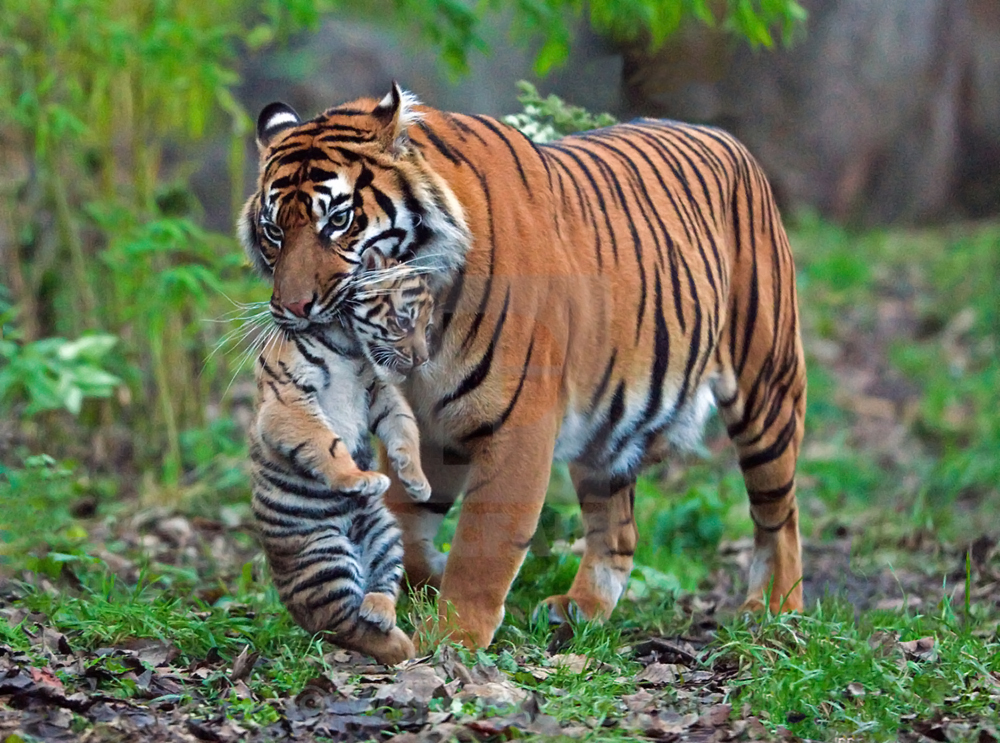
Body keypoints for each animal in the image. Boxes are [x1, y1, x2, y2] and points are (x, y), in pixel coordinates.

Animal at [238, 83, 808, 652]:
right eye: (272, 230)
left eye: (338, 220)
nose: (293, 308)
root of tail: (726, 138)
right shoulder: (432, 422)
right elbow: (408, 516)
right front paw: (425, 582)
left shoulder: (518, 422)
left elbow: (483, 544)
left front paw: (453, 637)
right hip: (608, 430)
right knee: (619, 529)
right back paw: (581, 609)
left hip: (767, 392)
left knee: (779, 515)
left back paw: (774, 614)